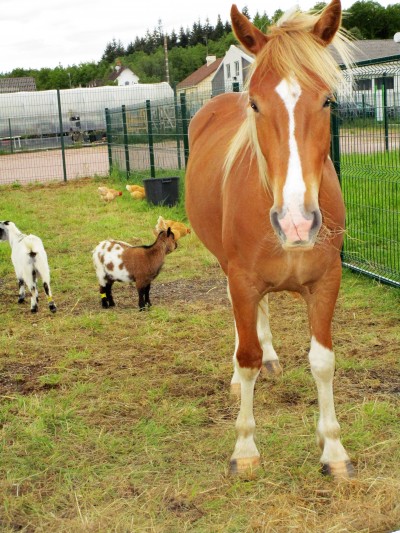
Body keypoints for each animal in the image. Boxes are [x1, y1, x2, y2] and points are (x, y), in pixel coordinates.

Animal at [185, 0, 356, 480]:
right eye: (256, 104)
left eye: (327, 99)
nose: (297, 222)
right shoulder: (242, 279)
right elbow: (246, 358)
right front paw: (244, 449)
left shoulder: (326, 281)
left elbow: (322, 361)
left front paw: (333, 450)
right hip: (227, 269)